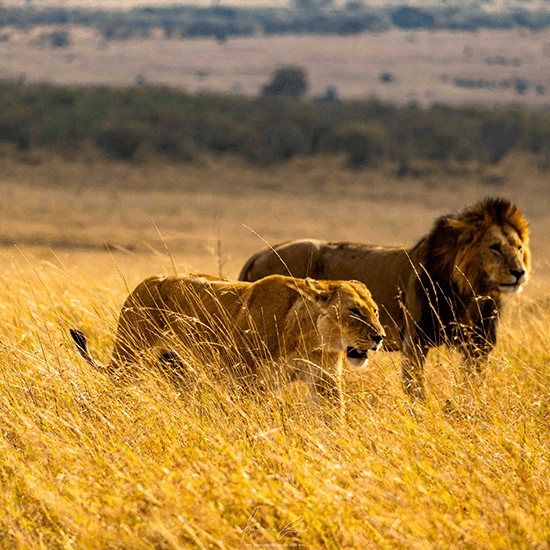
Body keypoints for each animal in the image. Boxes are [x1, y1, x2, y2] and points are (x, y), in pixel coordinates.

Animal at [71, 274, 386, 408]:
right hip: (129, 355)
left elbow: (333, 417)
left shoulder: (324, 379)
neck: (307, 337)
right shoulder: (248, 381)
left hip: (179, 369)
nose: (380, 337)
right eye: (355, 311)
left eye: (375, 311)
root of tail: (146, 281)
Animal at [239, 198, 532, 402]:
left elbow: (473, 387)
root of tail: (258, 254)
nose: (519, 273)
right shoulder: (415, 341)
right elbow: (415, 389)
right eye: (495, 247)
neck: (471, 292)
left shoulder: (478, 346)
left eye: (519, 248)